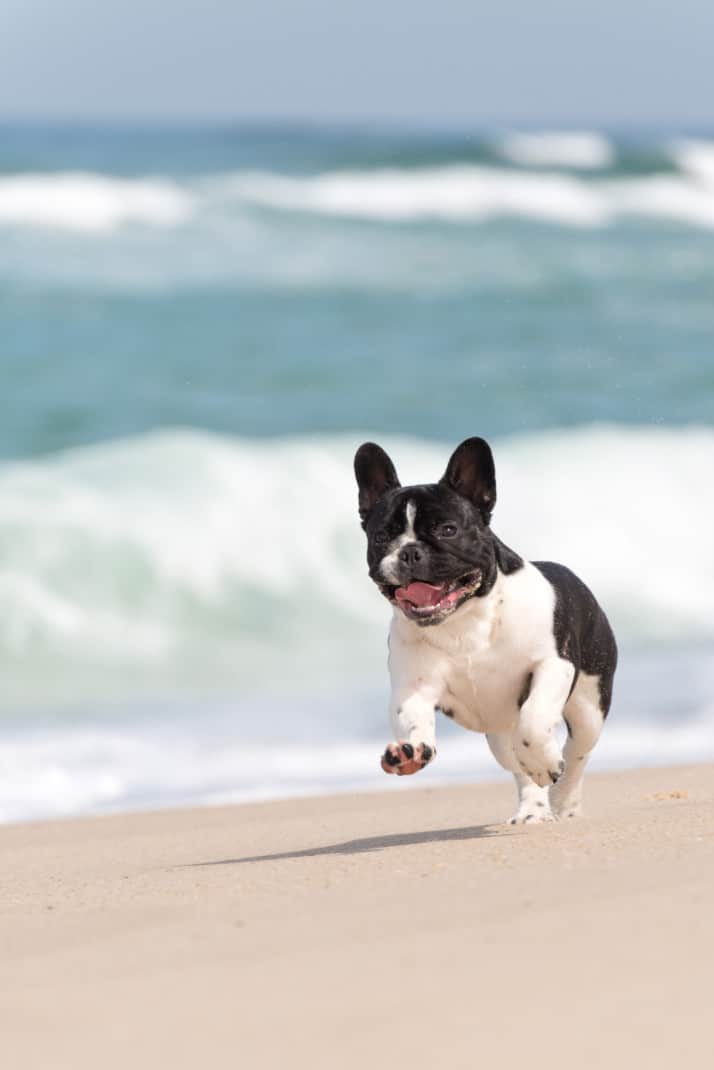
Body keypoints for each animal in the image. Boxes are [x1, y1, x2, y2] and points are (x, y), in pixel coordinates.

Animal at [355, 438, 616, 821]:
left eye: (448, 530)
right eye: (381, 536)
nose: (410, 552)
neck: (463, 621)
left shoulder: (552, 665)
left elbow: (535, 719)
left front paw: (546, 761)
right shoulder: (413, 688)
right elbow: (413, 720)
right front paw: (410, 751)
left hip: (589, 706)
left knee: (575, 753)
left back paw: (564, 802)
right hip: (498, 735)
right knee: (518, 766)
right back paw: (534, 809)